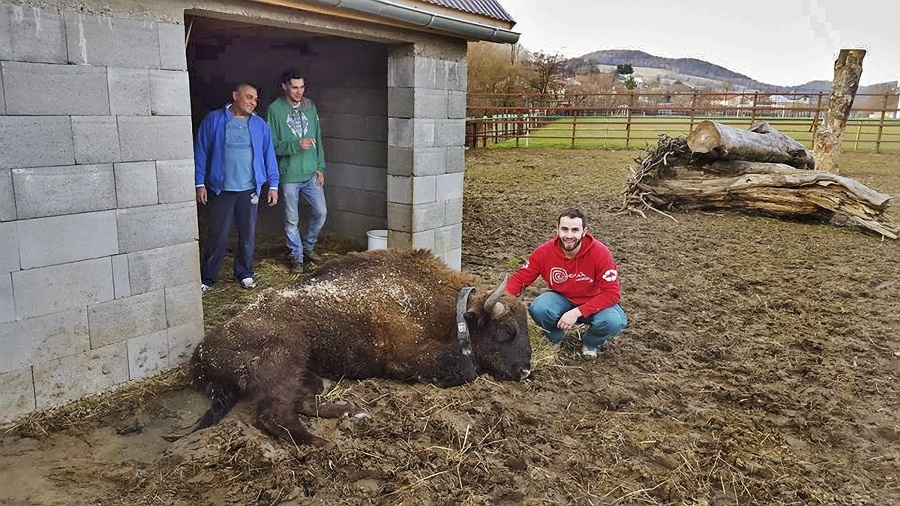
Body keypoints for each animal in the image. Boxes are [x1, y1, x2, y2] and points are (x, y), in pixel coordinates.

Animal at [185, 248, 532, 442]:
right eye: (506, 330)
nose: (525, 371)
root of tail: (199, 356)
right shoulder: (407, 355)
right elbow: (466, 369)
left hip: (304, 372)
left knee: (301, 400)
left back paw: (351, 411)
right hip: (286, 354)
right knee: (273, 413)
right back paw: (322, 442)